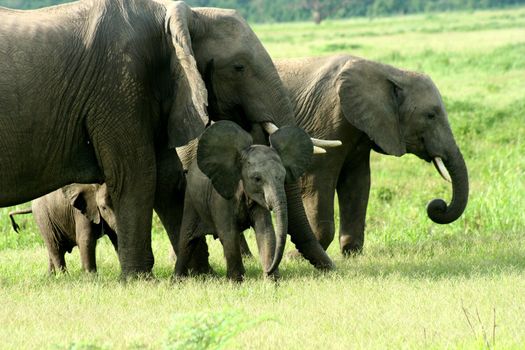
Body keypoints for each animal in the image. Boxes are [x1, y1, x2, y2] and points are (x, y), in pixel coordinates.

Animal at [177, 121, 312, 282]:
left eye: (283, 177)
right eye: (257, 179)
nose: (268, 270)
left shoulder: (259, 199)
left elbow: (266, 231)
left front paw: (272, 281)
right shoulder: (221, 198)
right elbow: (229, 233)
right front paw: (236, 282)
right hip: (190, 199)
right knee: (186, 240)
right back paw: (176, 280)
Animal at [272, 56, 468, 256]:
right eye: (431, 115)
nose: (438, 205)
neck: (391, 72)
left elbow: (357, 182)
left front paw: (351, 253)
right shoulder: (324, 119)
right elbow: (316, 182)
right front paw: (297, 257)